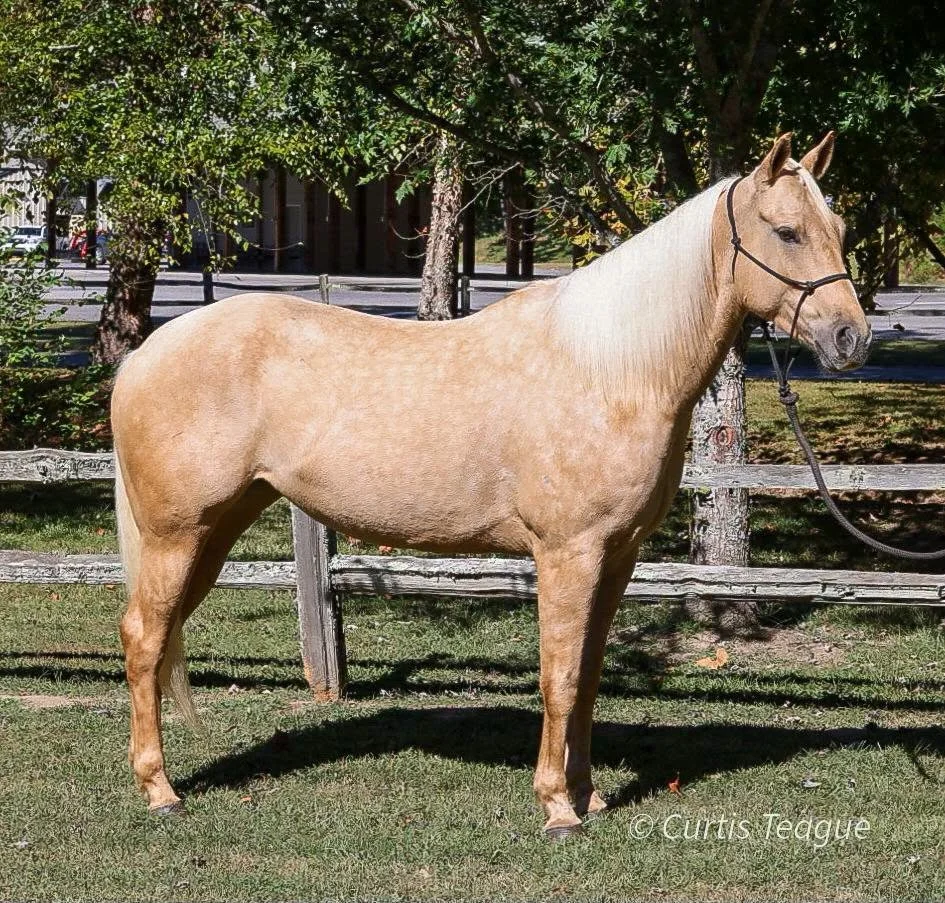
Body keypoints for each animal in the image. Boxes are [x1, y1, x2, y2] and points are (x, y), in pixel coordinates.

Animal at [111, 132, 871, 838]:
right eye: (785, 230)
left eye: (838, 229)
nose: (850, 339)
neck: (611, 369)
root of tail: (144, 354)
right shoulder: (567, 554)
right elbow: (559, 676)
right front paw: (558, 808)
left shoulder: (616, 556)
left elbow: (590, 674)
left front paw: (589, 793)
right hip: (176, 535)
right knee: (144, 637)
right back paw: (160, 790)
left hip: (215, 532)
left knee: (160, 633)